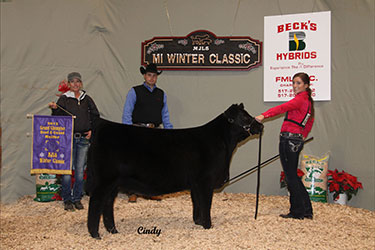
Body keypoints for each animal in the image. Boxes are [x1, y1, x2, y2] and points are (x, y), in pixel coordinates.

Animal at [87, 103, 264, 238]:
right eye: (245, 117)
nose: (261, 125)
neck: (223, 144)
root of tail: (103, 125)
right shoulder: (205, 181)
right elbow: (206, 204)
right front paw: (208, 225)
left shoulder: (196, 184)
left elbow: (197, 203)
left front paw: (198, 222)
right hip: (104, 180)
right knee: (96, 203)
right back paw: (95, 234)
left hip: (113, 183)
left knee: (107, 203)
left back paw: (113, 230)